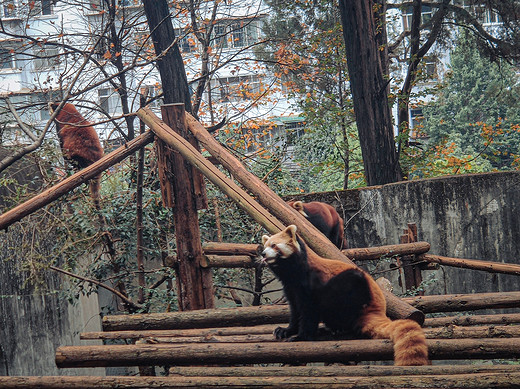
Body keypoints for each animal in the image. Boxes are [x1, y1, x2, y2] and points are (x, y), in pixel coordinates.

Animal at [262, 223, 428, 366]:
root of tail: (377, 312)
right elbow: (295, 311)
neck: (293, 272)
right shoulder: (291, 287)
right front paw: (286, 330)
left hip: (356, 294)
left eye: (274, 245)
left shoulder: (311, 284)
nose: (263, 253)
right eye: (264, 246)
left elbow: (309, 311)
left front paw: (301, 337)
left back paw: (339, 330)